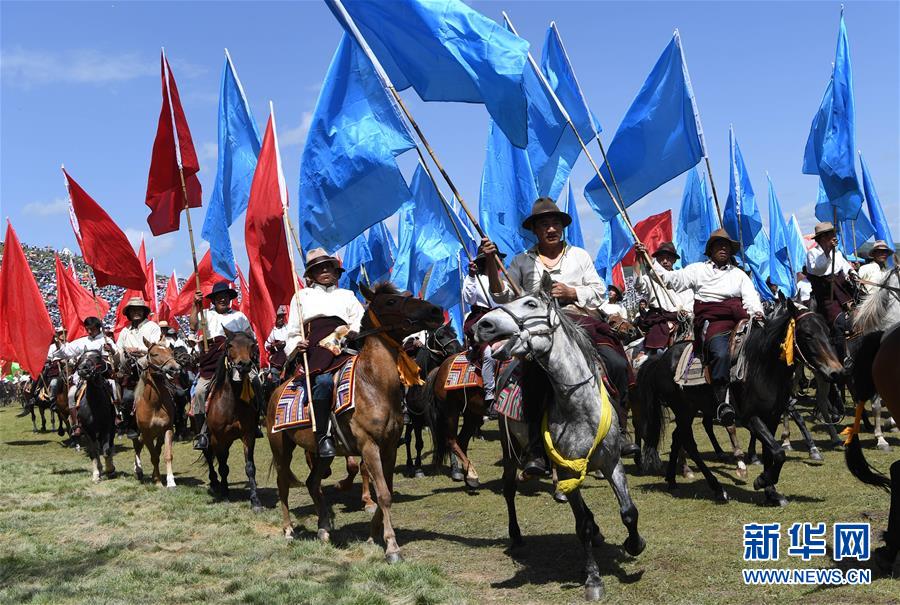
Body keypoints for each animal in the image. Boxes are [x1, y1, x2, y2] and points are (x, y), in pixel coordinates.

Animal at [130, 342, 181, 488]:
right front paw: (158, 481)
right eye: (154, 354)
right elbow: (153, 457)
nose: (175, 368)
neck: (154, 404)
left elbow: (166, 455)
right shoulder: (146, 433)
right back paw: (138, 470)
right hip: (144, 433)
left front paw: (170, 481)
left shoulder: (167, 430)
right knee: (138, 445)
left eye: (171, 352)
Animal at [202, 330, 262, 510]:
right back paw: (215, 483)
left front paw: (255, 501)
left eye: (252, 345)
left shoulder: (248, 435)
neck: (232, 404)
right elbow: (222, 467)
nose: (244, 365)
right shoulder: (217, 438)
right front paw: (224, 494)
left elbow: (250, 467)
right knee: (209, 456)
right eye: (230, 345)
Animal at [268, 284, 442, 560]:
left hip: (322, 453)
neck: (373, 385)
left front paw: (372, 536)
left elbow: (386, 491)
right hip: (281, 447)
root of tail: (276, 390)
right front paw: (392, 547)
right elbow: (383, 494)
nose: (435, 310)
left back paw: (324, 529)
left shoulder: (389, 447)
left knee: (312, 482)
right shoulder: (368, 446)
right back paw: (288, 530)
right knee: (283, 485)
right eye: (391, 301)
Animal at [474, 274, 644, 600]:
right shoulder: (568, 469)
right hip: (509, 448)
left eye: (530, 303)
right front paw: (593, 579)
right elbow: (582, 526)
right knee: (509, 490)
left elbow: (628, 511)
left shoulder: (612, 463)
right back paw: (516, 535)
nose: (483, 325)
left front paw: (635, 544)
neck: (578, 406)